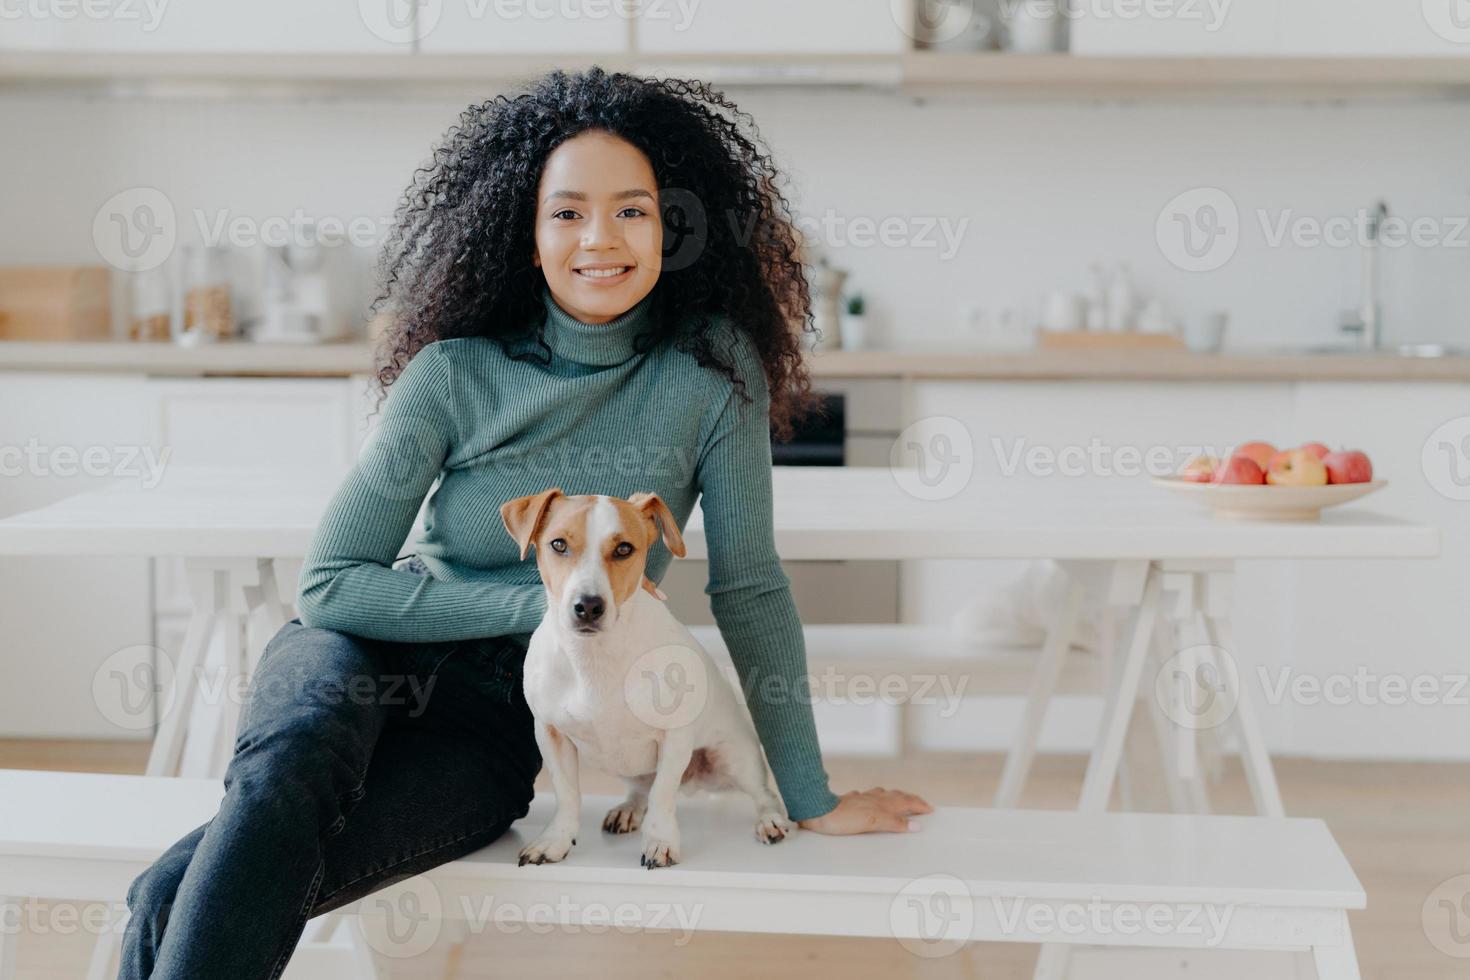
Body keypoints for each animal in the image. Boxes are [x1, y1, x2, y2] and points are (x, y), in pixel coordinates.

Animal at [499, 487, 793, 869]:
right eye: (558, 544)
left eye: (624, 549)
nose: (588, 606)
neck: (595, 658)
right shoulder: (551, 734)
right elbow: (568, 795)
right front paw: (555, 841)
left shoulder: (675, 737)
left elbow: (663, 795)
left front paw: (660, 841)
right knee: (640, 789)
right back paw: (628, 809)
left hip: (734, 757)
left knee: (763, 792)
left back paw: (770, 820)